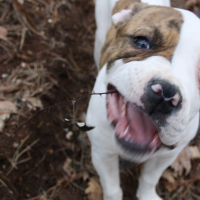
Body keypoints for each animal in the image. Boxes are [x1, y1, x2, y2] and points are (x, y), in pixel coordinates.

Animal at [85, 0, 200, 199]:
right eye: (141, 42)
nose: (165, 92)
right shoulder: (103, 153)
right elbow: (112, 189)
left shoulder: (165, 157)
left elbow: (149, 178)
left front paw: (147, 195)